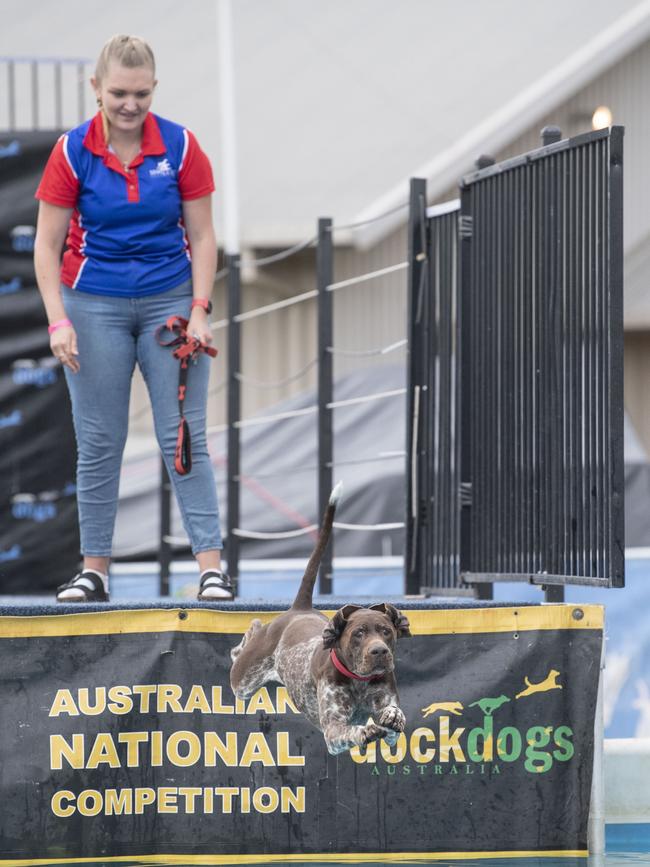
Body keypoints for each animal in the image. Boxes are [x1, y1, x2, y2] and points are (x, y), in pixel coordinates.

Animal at [229, 484, 410, 756]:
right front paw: (364, 731)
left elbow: (392, 722)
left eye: (386, 631)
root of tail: (299, 608)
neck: (359, 681)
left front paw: (393, 715)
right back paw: (248, 635)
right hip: (242, 683)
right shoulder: (333, 732)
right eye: (358, 633)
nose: (379, 651)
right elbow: (349, 731)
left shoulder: (390, 728)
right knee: (242, 645)